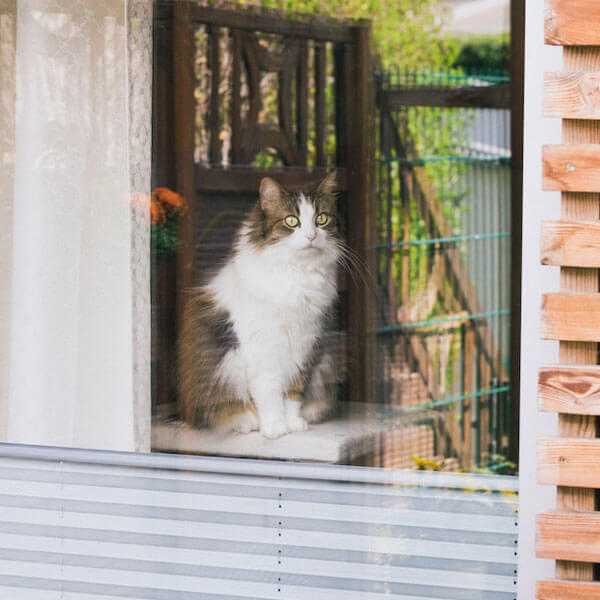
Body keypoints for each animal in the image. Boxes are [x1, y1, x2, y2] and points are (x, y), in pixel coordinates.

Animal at [178, 171, 342, 438]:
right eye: (292, 221)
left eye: (321, 219)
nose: (311, 236)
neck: (296, 273)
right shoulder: (262, 348)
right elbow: (269, 393)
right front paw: (275, 427)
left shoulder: (306, 343)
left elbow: (293, 393)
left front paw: (292, 423)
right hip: (227, 365)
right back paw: (249, 422)